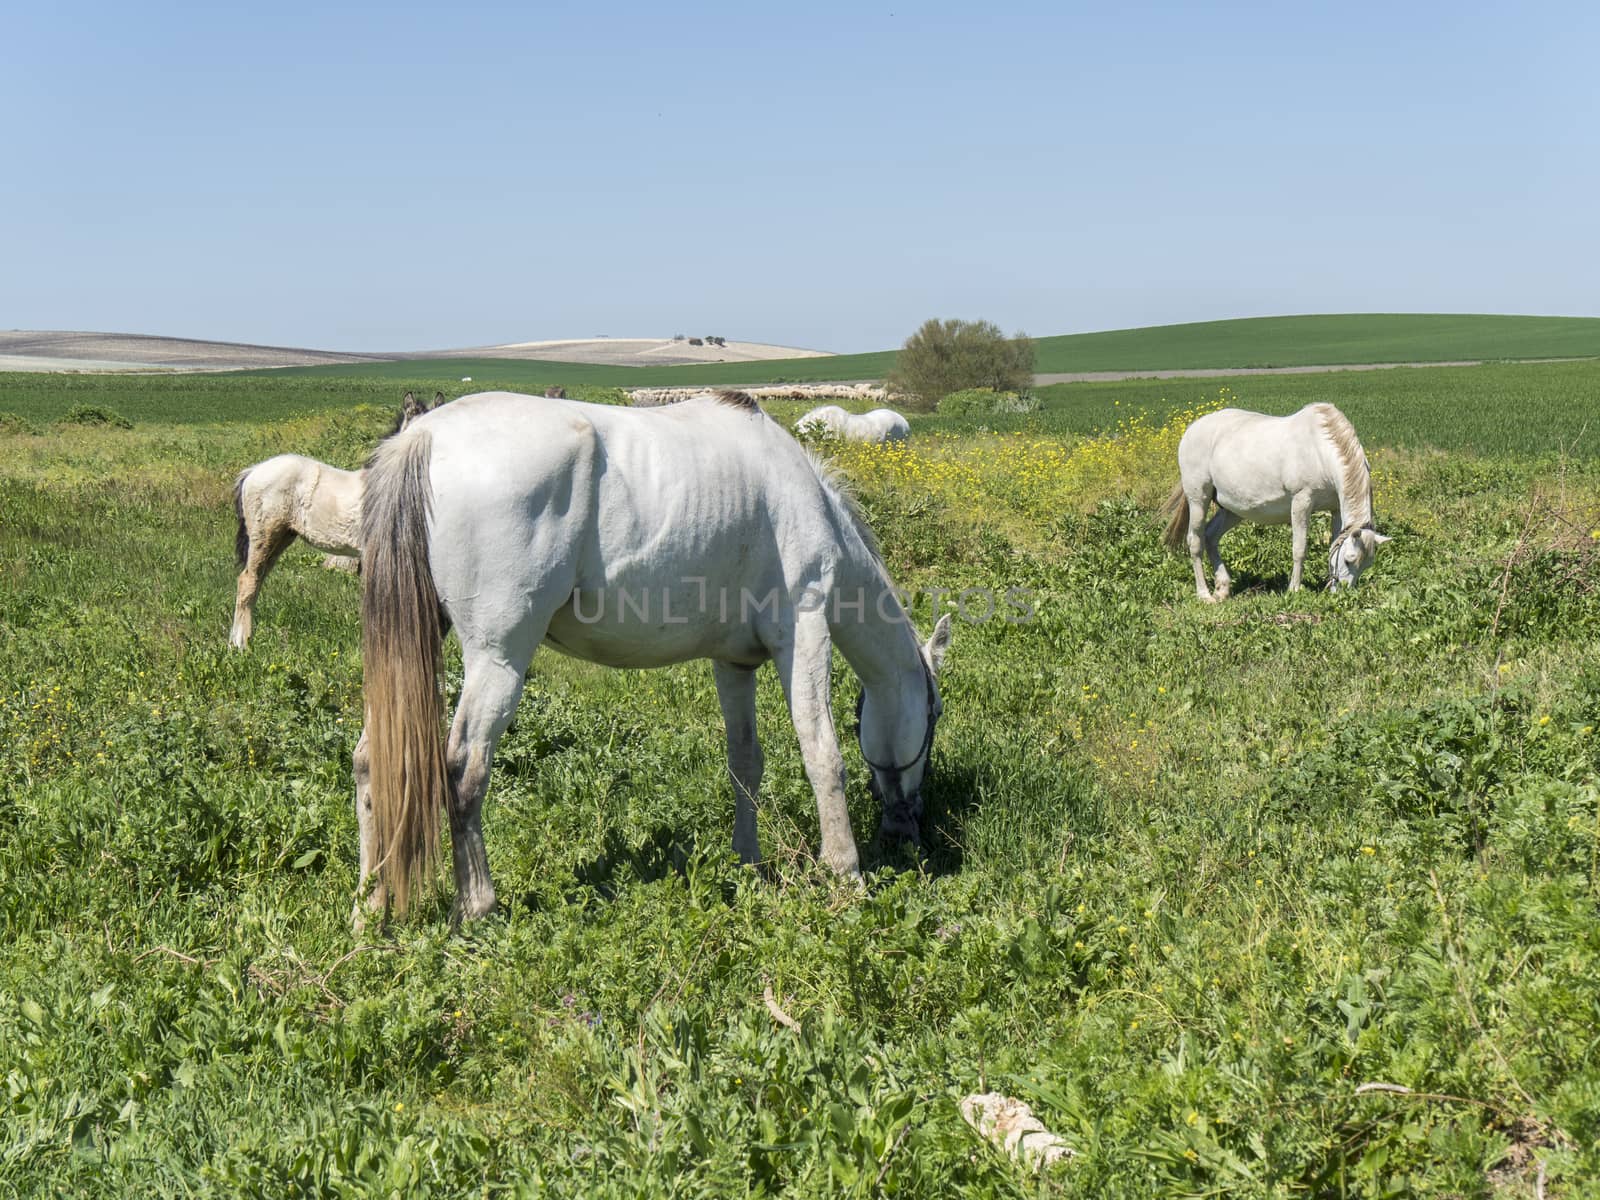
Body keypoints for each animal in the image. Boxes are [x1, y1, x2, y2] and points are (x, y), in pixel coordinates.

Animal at [225, 392, 438, 649]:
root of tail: (252, 471)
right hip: (263, 535)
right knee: (248, 580)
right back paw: (240, 643)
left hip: (282, 538)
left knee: (257, 579)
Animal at [353, 390, 947, 928]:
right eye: (935, 714)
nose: (908, 825)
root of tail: (422, 436)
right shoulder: (803, 631)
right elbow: (823, 753)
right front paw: (847, 876)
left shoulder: (735, 663)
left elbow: (745, 762)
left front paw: (748, 863)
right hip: (498, 660)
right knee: (462, 772)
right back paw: (477, 908)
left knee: (369, 761)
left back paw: (370, 907)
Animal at [1164, 406, 1388, 601]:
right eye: (1349, 559)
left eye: (1367, 565)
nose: (1342, 594)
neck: (1319, 451)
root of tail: (1192, 428)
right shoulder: (1301, 502)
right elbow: (1299, 549)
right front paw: (1294, 589)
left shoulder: (1336, 510)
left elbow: (1333, 545)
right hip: (1198, 499)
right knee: (1195, 541)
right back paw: (1204, 594)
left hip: (1232, 509)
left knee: (1211, 536)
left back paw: (1223, 589)